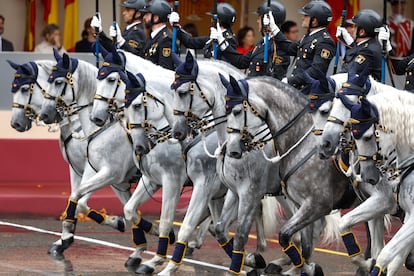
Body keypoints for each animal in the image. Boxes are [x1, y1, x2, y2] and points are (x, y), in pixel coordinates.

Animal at [6, 59, 126, 242]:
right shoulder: (79, 169)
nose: (15, 123)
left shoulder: (95, 169)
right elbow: (76, 200)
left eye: (25, 89)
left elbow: (81, 202)